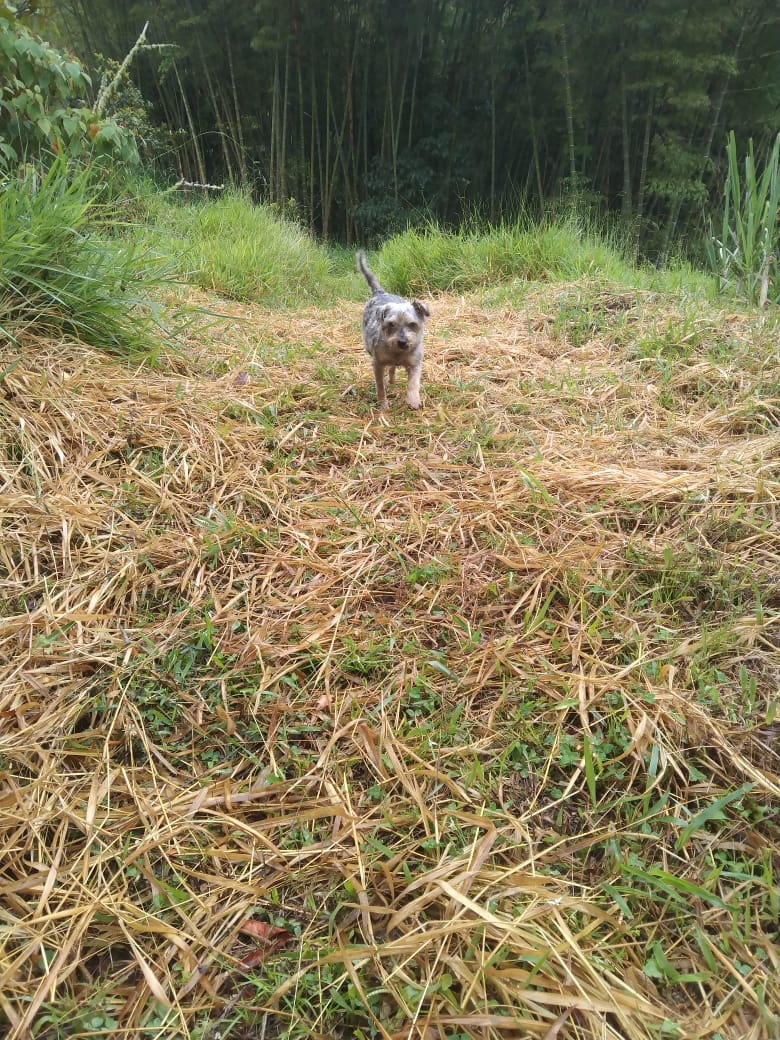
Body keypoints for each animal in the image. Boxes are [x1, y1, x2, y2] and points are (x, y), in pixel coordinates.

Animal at [357, 251, 430, 409]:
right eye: (391, 324)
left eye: (412, 324)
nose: (402, 342)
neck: (398, 353)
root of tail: (380, 292)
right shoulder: (377, 363)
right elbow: (380, 386)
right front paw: (383, 403)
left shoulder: (415, 363)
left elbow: (413, 383)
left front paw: (414, 400)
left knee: (392, 369)